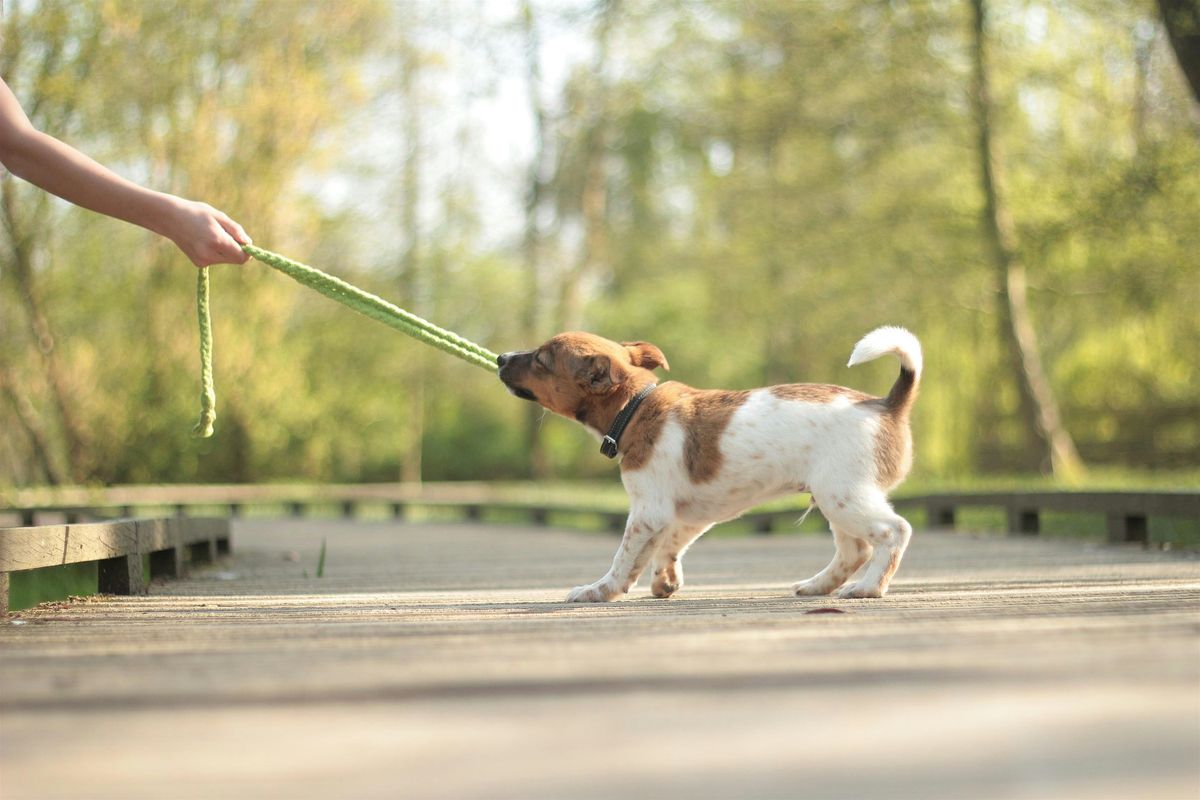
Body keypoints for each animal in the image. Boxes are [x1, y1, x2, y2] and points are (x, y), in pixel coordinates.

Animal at [492, 326, 921, 599]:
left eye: (542, 360)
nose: (499, 356)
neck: (636, 408)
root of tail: (887, 405)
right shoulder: (687, 514)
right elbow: (669, 547)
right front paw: (664, 582)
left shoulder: (647, 511)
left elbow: (624, 559)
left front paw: (599, 591)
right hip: (835, 500)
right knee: (854, 550)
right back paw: (818, 586)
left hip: (843, 496)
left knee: (893, 532)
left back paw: (868, 588)